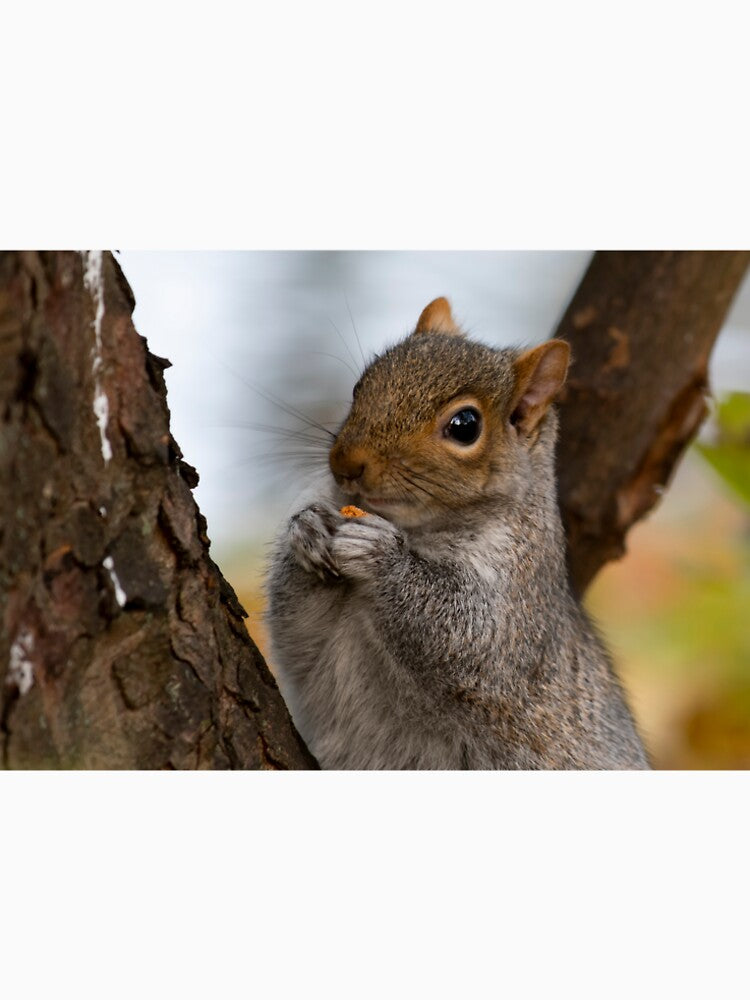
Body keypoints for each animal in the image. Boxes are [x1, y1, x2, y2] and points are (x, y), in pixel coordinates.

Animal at [266, 297, 650, 769]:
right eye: (360, 386)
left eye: (465, 426)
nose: (346, 464)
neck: (415, 526)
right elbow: (295, 636)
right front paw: (308, 528)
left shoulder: (517, 609)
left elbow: (468, 639)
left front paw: (380, 555)